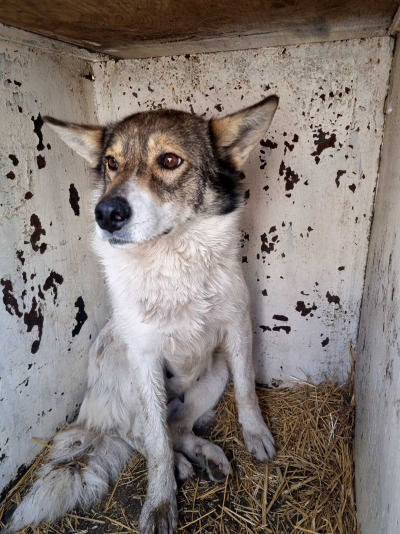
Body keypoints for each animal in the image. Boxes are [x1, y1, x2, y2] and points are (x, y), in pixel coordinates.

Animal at [7, 94, 282, 532]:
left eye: (169, 160)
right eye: (111, 163)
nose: (106, 213)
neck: (172, 261)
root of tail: (91, 416)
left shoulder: (237, 329)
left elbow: (246, 391)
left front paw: (255, 434)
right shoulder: (145, 358)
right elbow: (155, 444)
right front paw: (160, 502)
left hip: (213, 374)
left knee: (177, 426)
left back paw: (207, 457)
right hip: (128, 377)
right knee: (140, 432)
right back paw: (181, 467)